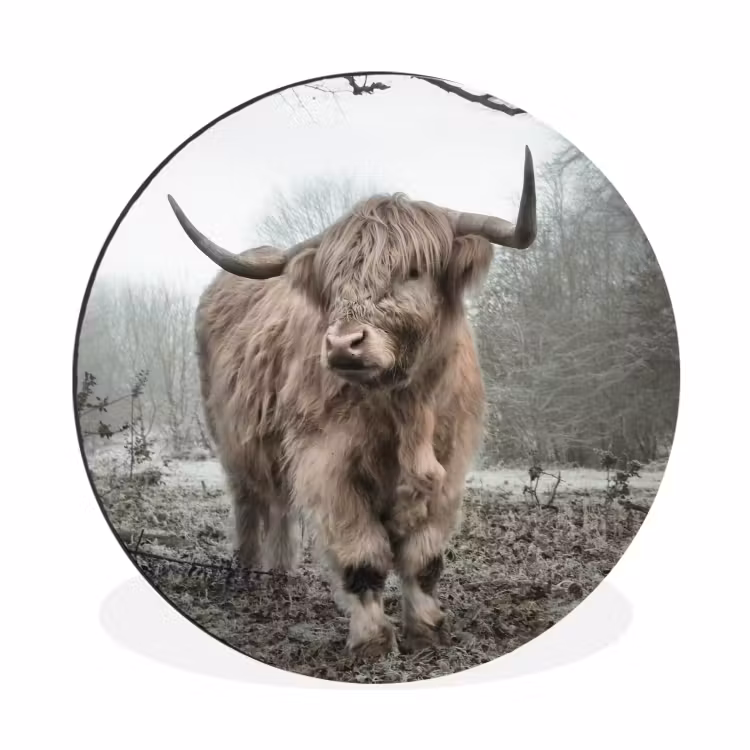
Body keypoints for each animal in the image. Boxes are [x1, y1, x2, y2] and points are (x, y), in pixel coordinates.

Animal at [167, 147, 536, 657]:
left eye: (413, 271)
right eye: (335, 280)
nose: (344, 345)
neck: (405, 407)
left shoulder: (450, 465)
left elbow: (424, 559)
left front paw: (427, 630)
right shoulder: (328, 464)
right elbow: (363, 558)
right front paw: (373, 641)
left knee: (279, 505)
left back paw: (280, 574)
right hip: (232, 441)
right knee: (250, 503)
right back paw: (248, 574)